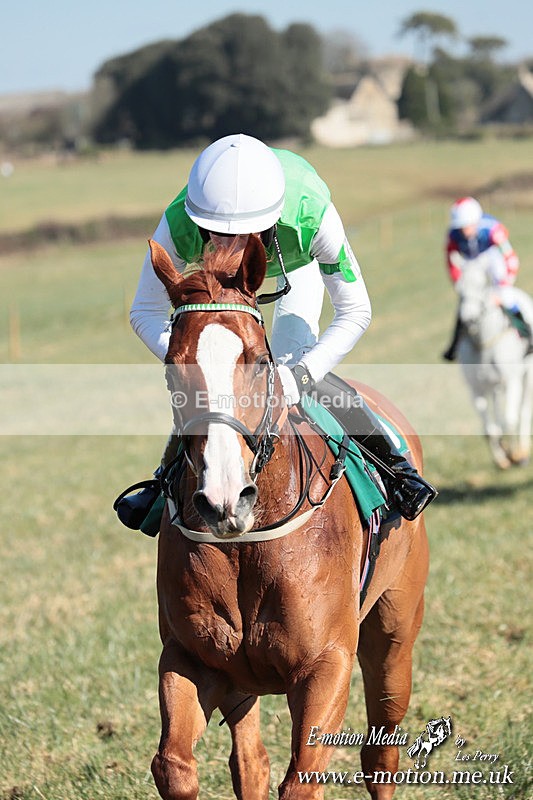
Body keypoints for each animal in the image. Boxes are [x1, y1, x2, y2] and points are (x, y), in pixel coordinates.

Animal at [147, 235, 430, 800]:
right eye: (171, 366)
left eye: (259, 361)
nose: (224, 498)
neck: (249, 539)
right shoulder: (192, 660)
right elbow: (174, 767)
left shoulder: (327, 665)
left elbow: (302, 779)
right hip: (241, 680)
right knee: (250, 761)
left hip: (394, 634)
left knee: (381, 753)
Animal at [455, 254, 533, 469]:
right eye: (459, 289)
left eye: (483, 285)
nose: (469, 320)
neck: (484, 343)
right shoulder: (476, 389)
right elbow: (490, 430)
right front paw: (502, 458)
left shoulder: (513, 381)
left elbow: (510, 420)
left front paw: (515, 454)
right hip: (494, 386)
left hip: (527, 377)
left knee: (524, 411)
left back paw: (523, 450)